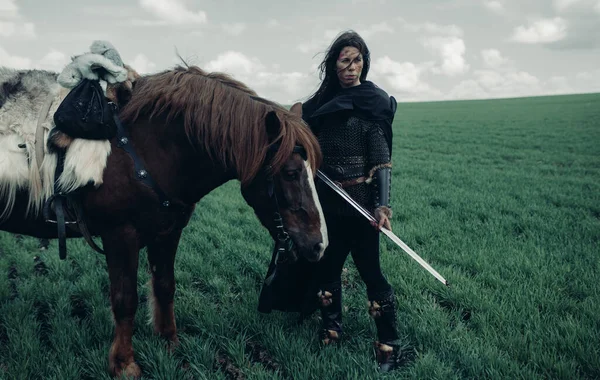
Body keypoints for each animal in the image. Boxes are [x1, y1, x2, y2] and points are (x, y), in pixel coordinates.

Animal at [0, 65, 328, 378]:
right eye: (290, 173)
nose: (319, 244)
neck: (146, 149)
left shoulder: (168, 232)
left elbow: (165, 286)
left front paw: (169, 341)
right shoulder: (120, 236)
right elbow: (125, 300)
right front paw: (124, 363)